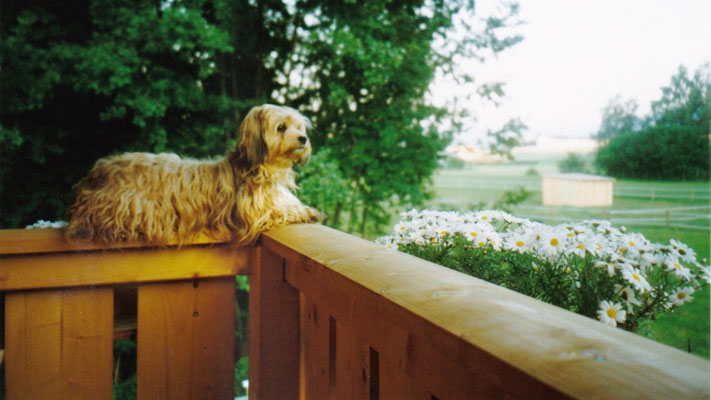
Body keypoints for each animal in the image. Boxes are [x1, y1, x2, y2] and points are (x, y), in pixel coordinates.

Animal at [64, 103, 326, 245]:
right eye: (281, 127)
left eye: (299, 127)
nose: (303, 139)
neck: (262, 167)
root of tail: (97, 172)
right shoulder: (253, 212)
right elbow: (281, 211)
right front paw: (310, 212)